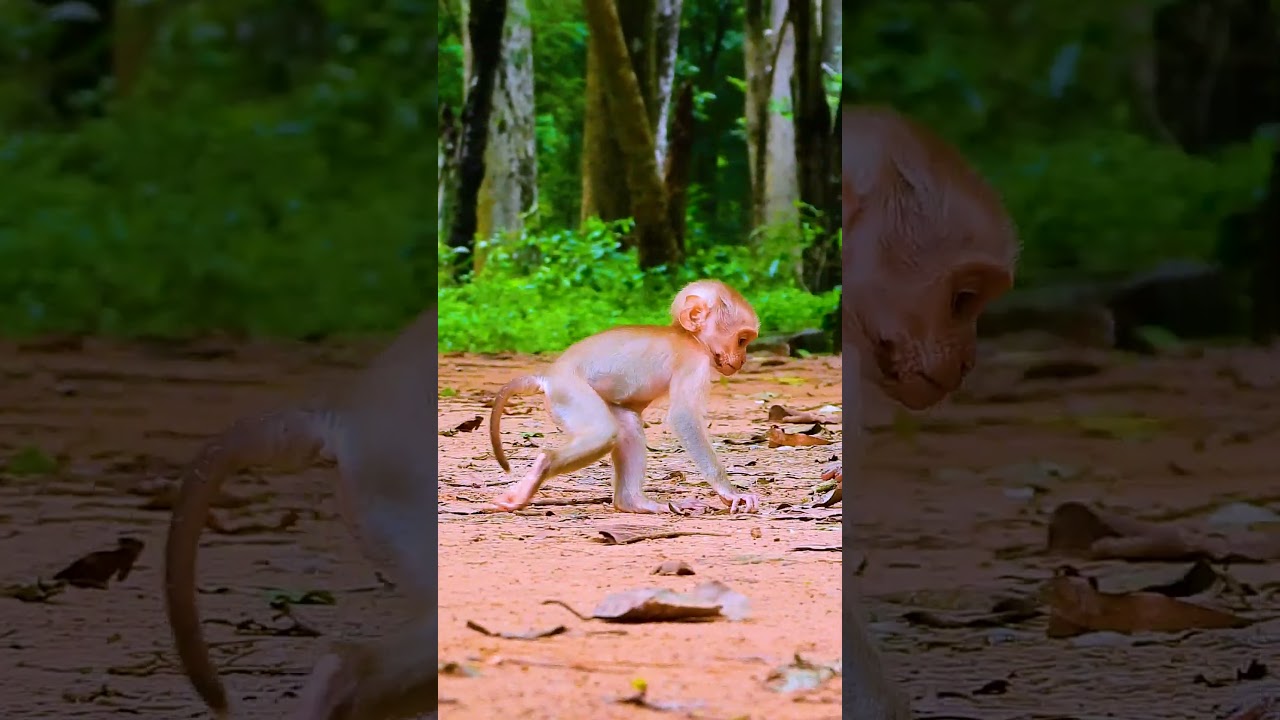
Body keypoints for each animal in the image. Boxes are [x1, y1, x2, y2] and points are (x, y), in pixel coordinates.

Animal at [487, 279, 763, 515]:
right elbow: (683, 417)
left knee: (627, 426)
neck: (690, 337)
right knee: (603, 433)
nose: (742, 360)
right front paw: (729, 492)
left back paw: (635, 502)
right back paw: (541, 468)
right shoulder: (694, 361)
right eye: (741, 340)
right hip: (570, 391)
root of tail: (547, 377)